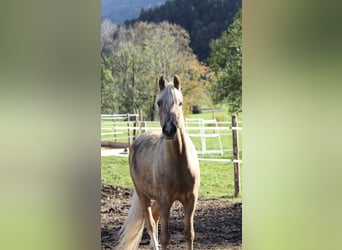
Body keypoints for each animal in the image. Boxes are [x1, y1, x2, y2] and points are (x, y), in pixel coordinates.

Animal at [117, 75, 200, 249]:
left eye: (180, 102)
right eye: (159, 103)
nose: (169, 130)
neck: (179, 164)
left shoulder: (191, 200)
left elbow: (189, 234)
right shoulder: (165, 201)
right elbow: (165, 237)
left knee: (154, 222)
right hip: (143, 196)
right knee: (150, 224)